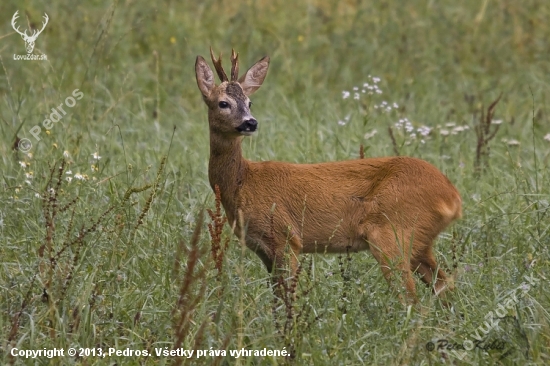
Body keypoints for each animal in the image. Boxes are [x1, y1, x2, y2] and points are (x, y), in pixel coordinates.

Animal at [196, 48, 464, 304]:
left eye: (250, 102)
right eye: (223, 103)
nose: (250, 123)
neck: (242, 182)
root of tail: (453, 197)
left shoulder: (286, 237)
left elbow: (286, 299)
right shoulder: (263, 249)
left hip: (393, 233)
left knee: (413, 299)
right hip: (419, 242)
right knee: (445, 286)